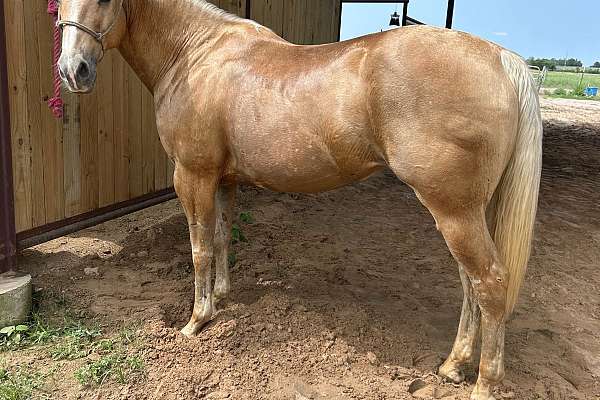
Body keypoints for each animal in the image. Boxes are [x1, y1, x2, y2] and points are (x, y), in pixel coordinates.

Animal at [57, 1, 544, 398]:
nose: (72, 70)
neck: (196, 55)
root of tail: (501, 60)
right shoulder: (224, 179)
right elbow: (222, 239)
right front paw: (222, 295)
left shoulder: (192, 177)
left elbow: (198, 248)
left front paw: (197, 320)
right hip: (469, 211)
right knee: (470, 285)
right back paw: (453, 366)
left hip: (454, 211)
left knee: (490, 283)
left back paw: (483, 383)